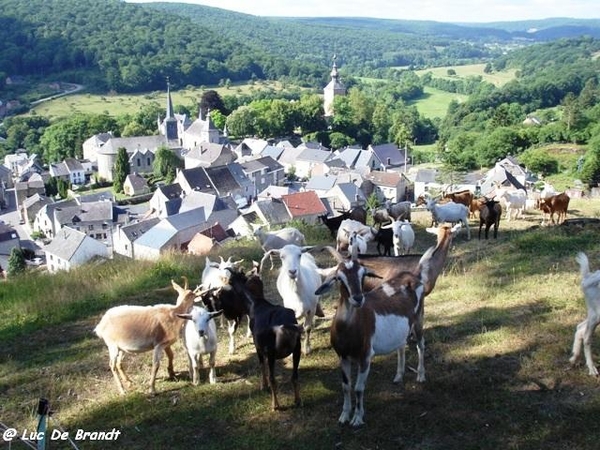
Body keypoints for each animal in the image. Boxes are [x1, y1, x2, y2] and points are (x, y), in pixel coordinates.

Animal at [225, 268, 302, 412]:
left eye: (230, 280)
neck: (253, 305)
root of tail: (284, 327)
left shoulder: (258, 345)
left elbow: (261, 363)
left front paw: (263, 385)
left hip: (271, 351)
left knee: (273, 378)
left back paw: (275, 405)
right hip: (297, 348)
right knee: (294, 376)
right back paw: (298, 400)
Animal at [316, 250, 428, 428]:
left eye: (363, 274)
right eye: (339, 277)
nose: (358, 298)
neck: (349, 329)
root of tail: (412, 276)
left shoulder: (365, 357)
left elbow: (358, 388)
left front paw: (357, 418)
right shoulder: (343, 357)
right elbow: (345, 386)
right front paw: (344, 416)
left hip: (418, 319)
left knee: (420, 345)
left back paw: (421, 376)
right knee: (401, 346)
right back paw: (398, 376)